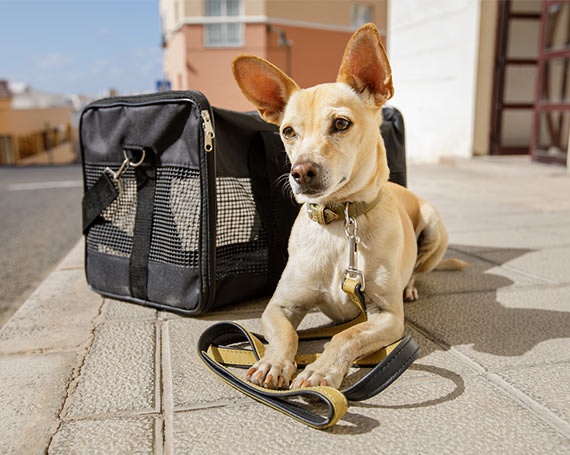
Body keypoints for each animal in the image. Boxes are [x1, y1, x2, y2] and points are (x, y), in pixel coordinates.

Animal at [233, 23, 460, 390]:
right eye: (288, 131)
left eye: (341, 124)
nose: (301, 172)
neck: (341, 222)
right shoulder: (278, 307)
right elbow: (285, 334)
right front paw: (273, 362)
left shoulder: (388, 317)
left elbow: (345, 337)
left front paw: (321, 370)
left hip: (434, 228)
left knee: (418, 269)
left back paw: (410, 285)